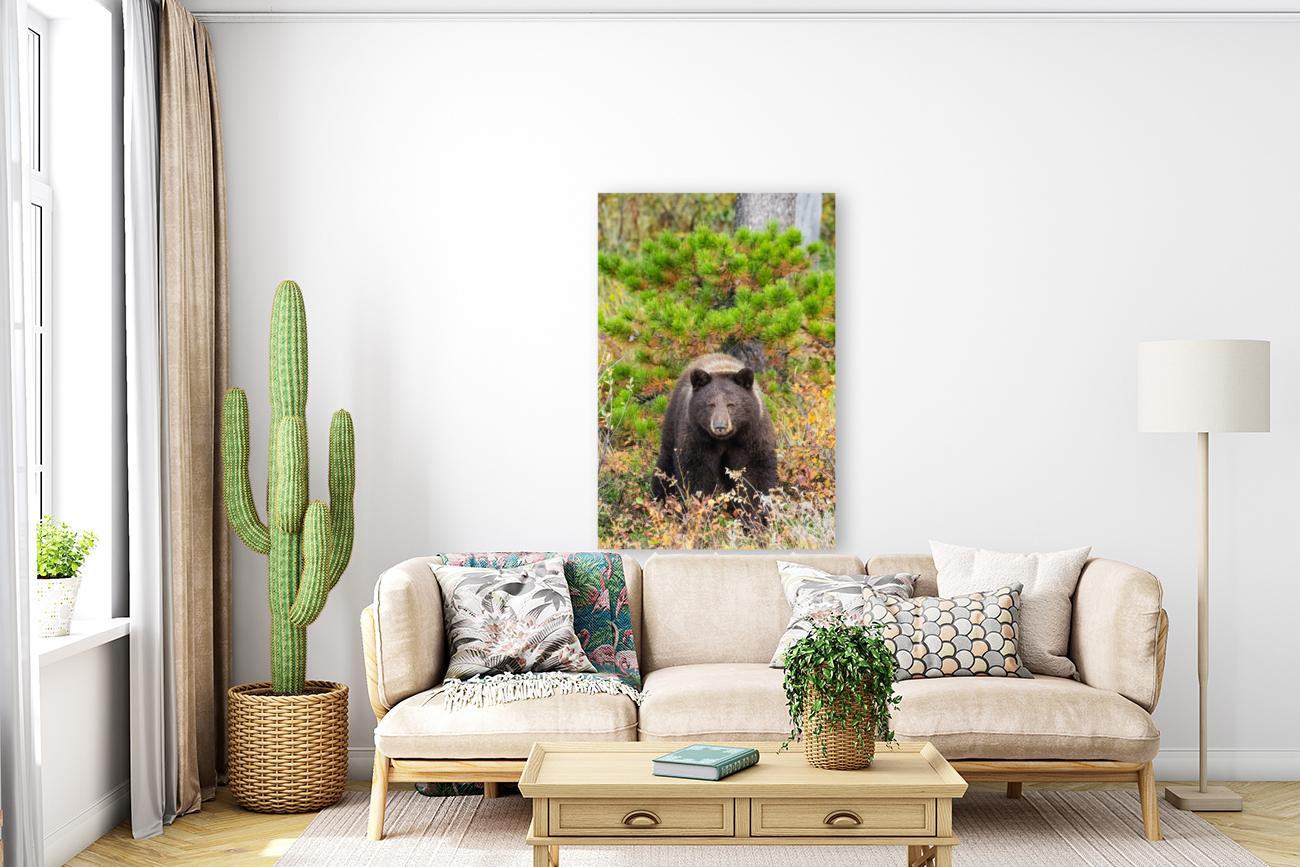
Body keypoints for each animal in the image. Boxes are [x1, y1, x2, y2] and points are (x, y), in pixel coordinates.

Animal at [651, 353, 778, 519]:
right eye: (710, 404)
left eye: (731, 404)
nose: (720, 426)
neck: (725, 440)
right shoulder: (697, 437)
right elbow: (696, 474)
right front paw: (700, 510)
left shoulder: (751, 436)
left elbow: (754, 475)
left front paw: (756, 516)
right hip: (673, 422)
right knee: (665, 464)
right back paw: (661, 499)